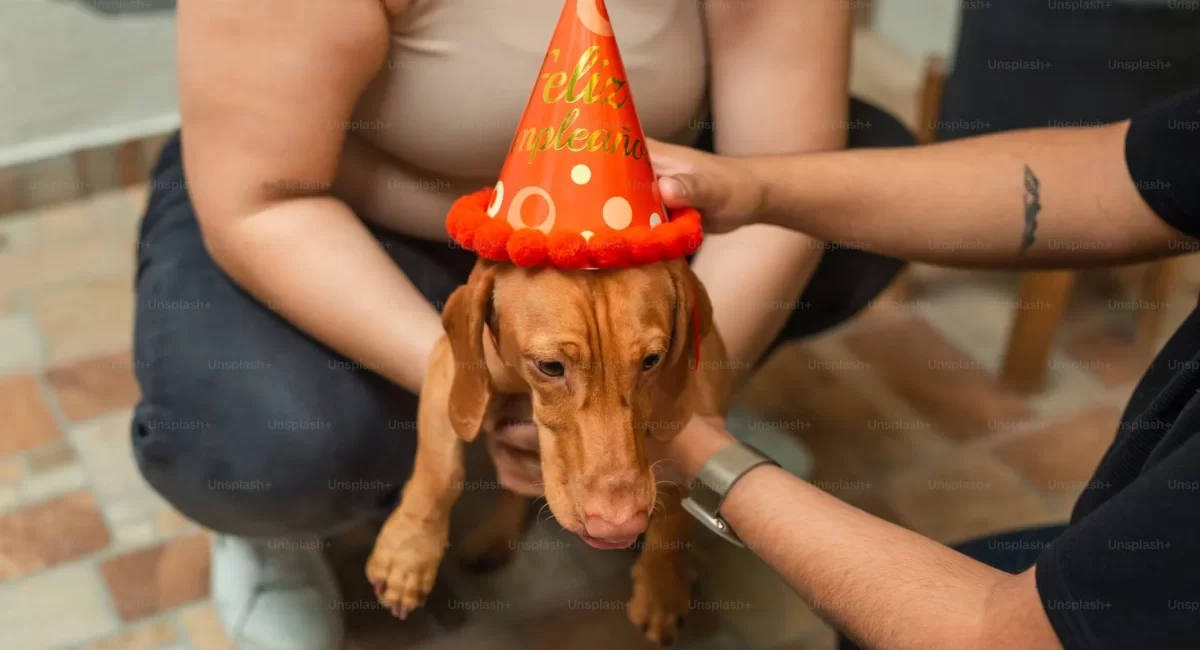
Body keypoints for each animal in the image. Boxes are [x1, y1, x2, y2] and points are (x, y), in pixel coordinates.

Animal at [366, 257, 731, 644]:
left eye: (651, 361)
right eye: (550, 366)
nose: (618, 527)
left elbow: (675, 506)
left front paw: (663, 584)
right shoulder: (451, 373)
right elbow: (441, 470)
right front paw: (408, 553)